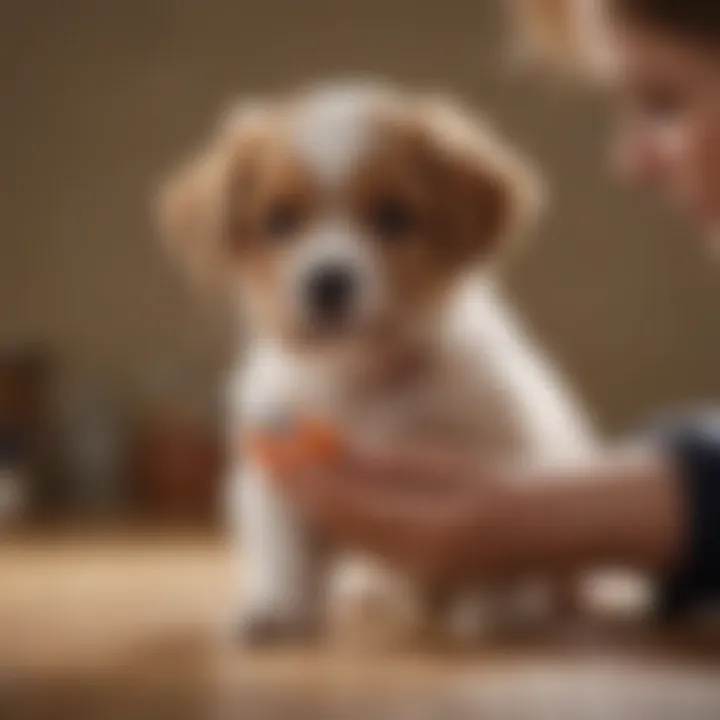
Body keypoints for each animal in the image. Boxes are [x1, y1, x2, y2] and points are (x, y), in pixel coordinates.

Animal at [159, 81, 596, 644]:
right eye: (279, 220)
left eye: (393, 215)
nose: (327, 281)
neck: (360, 379)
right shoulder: (277, 474)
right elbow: (284, 552)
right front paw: (277, 606)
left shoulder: (504, 468)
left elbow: (503, 548)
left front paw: (496, 604)